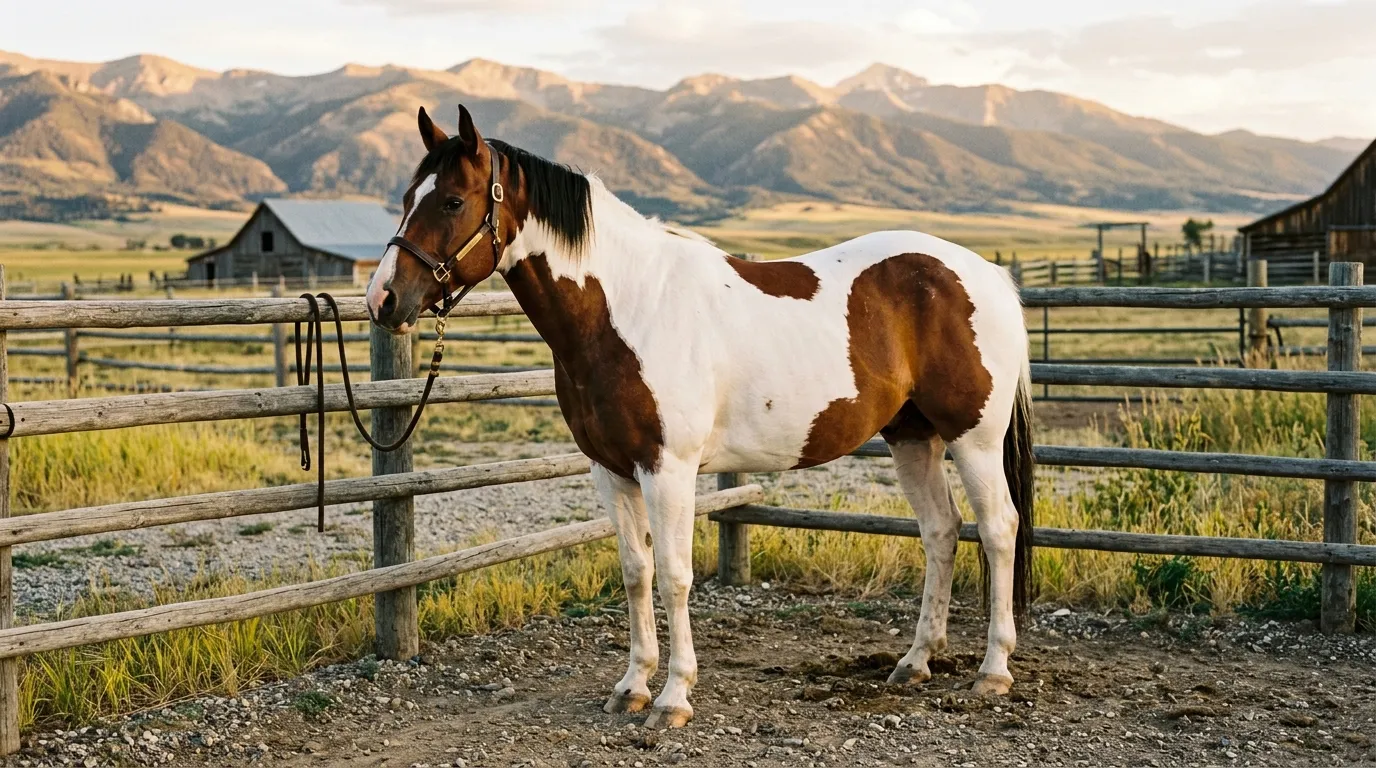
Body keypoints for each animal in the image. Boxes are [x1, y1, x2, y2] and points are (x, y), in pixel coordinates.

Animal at [366, 105, 1035, 729]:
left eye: (453, 200)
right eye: (405, 199)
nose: (383, 299)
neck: (627, 308)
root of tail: (989, 274)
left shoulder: (669, 469)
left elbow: (674, 576)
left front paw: (673, 698)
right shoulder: (611, 470)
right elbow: (636, 572)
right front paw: (632, 687)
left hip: (973, 439)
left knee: (999, 529)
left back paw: (993, 670)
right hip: (913, 436)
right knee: (941, 531)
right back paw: (916, 661)